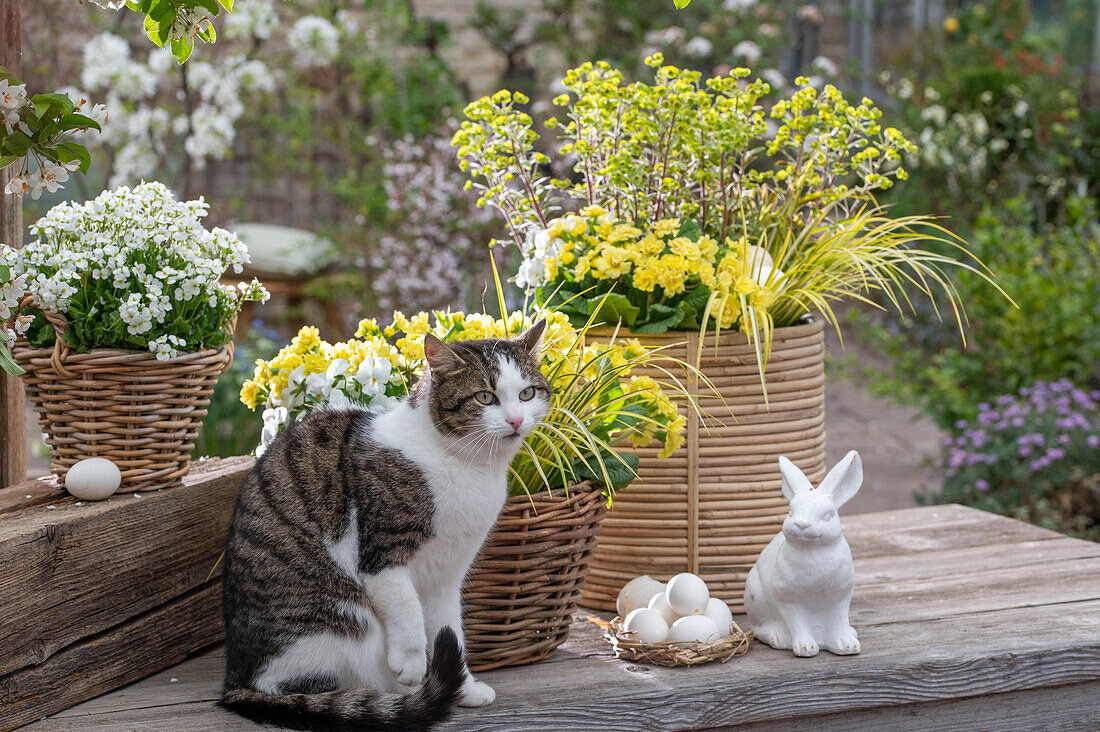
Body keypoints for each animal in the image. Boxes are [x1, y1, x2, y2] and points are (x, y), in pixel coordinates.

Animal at [218, 323, 550, 726]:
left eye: (526, 393)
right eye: (485, 397)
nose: (516, 420)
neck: (468, 467)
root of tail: (235, 679)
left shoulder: (447, 573)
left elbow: (449, 630)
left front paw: (464, 688)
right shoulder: (383, 552)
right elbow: (407, 608)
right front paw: (412, 663)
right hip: (335, 621)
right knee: (304, 686)